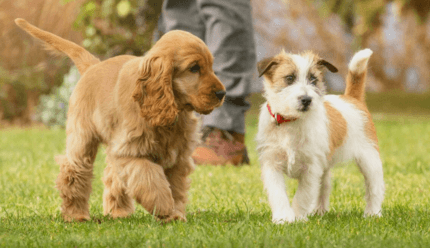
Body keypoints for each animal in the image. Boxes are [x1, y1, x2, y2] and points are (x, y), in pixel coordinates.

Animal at [15, 18, 227, 222]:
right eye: (194, 68)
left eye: (211, 67)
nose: (222, 93)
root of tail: (93, 66)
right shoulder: (131, 151)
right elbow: (149, 177)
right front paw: (164, 206)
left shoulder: (177, 157)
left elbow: (176, 188)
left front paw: (174, 215)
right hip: (82, 137)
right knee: (74, 171)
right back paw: (76, 215)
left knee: (112, 176)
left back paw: (118, 212)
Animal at [256, 49, 384, 224]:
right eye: (289, 78)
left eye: (313, 79)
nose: (306, 100)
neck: (291, 121)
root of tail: (352, 98)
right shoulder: (272, 164)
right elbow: (278, 193)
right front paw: (284, 218)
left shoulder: (311, 168)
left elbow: (302, 195)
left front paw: (298, 218)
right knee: (324, 187)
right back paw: (318, 211)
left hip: (369, 159)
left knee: (375, 187)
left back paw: (373, 213)